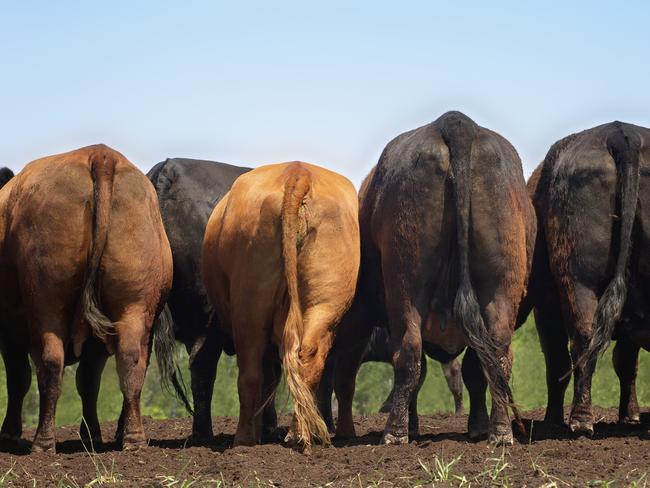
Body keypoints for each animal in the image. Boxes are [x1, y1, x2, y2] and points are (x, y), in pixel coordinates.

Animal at [0, 145, 173, 454]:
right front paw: (91, 434)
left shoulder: (9, 329)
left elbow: (19, 379)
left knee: (51, 363)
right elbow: (88, 382)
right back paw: (133, 439)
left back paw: (43, 443)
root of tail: (100, 155)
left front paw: (8, 433)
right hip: (133, 306)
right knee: (131, 361)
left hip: (47, 304)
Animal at [202, 162, 360, 452]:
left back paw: (244, 438)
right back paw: (299, 433)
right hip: (323, 302)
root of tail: (298, 171)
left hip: (250, 307)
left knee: (251, 373)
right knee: (307, 360)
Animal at [322, 111, 532, 446]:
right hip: (499, 289)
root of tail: (456, 122)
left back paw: (393, 432)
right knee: (496, 354)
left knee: (408, 355)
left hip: (405, 287)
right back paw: (500, 432)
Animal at [524, 122, 644, 434]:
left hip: (578, 284)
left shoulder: (546, 311)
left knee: (582, 339)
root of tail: (619, 132)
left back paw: (580, 419)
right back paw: (581, 418)